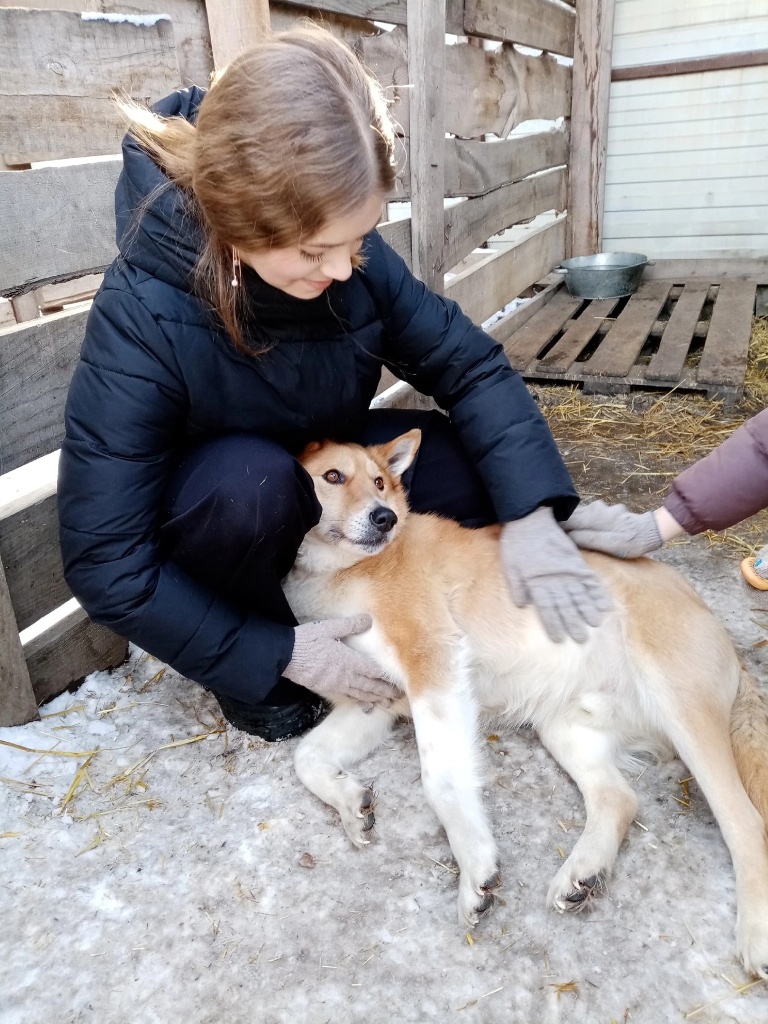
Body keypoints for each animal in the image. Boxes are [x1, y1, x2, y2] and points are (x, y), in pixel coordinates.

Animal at [284, 430, 768, 974]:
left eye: (380, 483)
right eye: (332, 476)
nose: (384, 516)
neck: (346, 574)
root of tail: (720, 631)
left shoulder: (436, 668)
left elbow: (441, 780)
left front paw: (474, 865)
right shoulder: (375, 700)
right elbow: (305, 756)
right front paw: (348, 802)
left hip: (681, 709)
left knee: (745, 820)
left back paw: (754, 931)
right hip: (565, 728)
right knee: (620, 799)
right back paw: (584, 872)